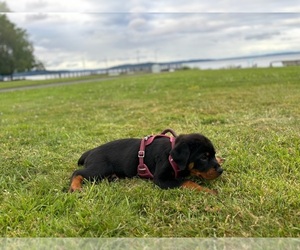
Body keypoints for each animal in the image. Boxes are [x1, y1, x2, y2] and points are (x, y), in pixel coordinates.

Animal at [69, 130, 224, 194]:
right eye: (203, 157)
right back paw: (75, 187)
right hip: (99, 168)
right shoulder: (161, 179)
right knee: (78, 172)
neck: (171, 155)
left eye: (212, 155)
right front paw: (208, 191)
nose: (220, 170)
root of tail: (91, 151)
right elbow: (186, 182)